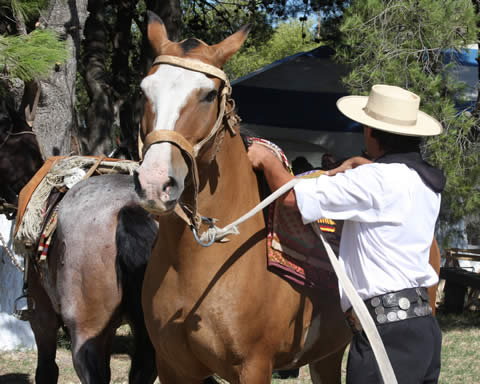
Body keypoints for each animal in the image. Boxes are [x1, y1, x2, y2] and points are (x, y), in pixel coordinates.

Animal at [135, 10, 442, 382]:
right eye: (144, 90)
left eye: (208, 95)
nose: (155, 182)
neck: (194, 264)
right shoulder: (173, 367)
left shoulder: (254, 366)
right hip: (328, 352)